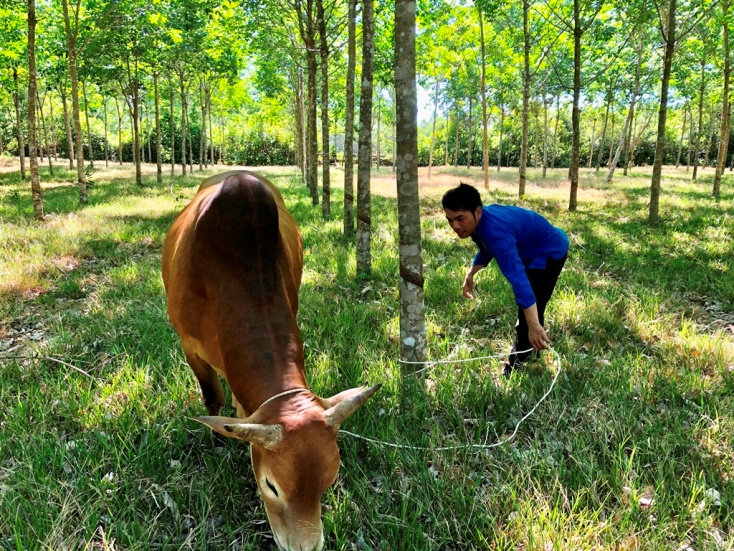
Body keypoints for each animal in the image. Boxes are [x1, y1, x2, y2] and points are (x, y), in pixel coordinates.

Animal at [161, 170, 380, 548]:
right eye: (271, 486)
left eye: (329, 481)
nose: (305, 547)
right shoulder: (189, 345)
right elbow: (212, 396)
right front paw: (219, 441)